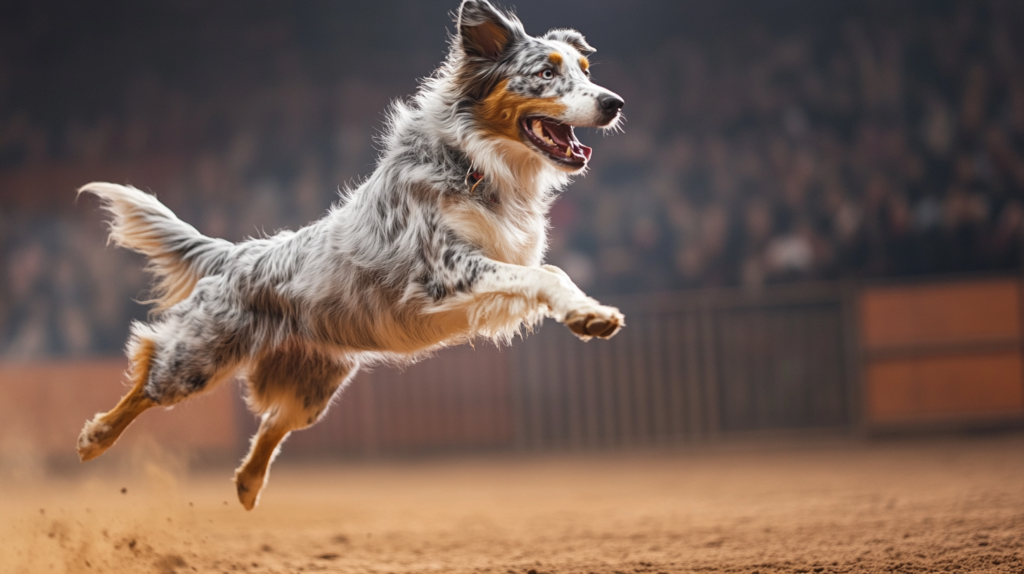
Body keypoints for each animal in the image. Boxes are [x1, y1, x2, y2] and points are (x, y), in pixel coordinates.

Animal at [75, 0, 622, 509]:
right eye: (546, 73)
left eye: (585, 71)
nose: (614, 103)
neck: (474, 162)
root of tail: (235, 254)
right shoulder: (445, 270)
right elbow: (549, 273)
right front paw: (587, 314)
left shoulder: (499, 267)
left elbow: (548, 276)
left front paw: (589, 312)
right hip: (198, 358)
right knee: (147, 376)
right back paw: (95, 437)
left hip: (316, 387)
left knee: (273, 423)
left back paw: (249, 484)